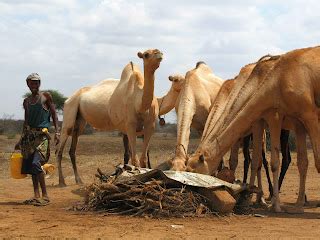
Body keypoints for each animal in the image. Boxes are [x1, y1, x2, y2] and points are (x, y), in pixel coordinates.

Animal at [55, 48, 164, 187]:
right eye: (146, 55)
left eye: (159, 51)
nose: (159, 53)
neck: (139, 103)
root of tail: (69, 98)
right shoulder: (130, 125)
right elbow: (134, 158)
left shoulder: (150, 125)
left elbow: (143, 158)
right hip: (70, 109)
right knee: (60, 148)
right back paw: (62, 181)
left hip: (80, 120)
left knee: (72, 147)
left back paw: (79, 180)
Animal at [185, 46, 320, 212]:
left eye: (193, 171)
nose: (190, 191)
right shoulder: (274, 121)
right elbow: (252, 161)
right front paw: (252, 198)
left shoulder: (278, 117)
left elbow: (270, 162)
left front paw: (272, 204)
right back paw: (300, 201)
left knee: (286, 158)